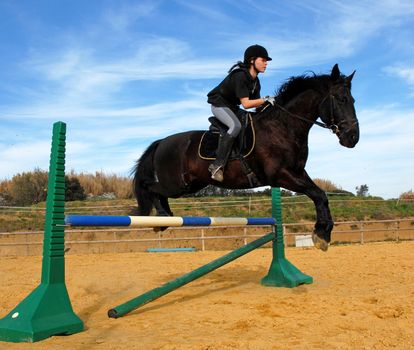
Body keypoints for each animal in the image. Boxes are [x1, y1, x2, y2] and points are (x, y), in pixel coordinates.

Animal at [132, 65, 360, 252]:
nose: (353, 138)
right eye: (342, 100)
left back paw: (165, 219)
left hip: (191, 185)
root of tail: (161, 142)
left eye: (353, 100)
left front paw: (323, 234)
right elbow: (318, 194)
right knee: (150, 187)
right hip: (177, 184)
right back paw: (162, 217)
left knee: (157, 191)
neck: (283, 127)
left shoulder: (297, 172)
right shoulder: (282, 175)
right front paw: (321, 234)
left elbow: (321, 194)